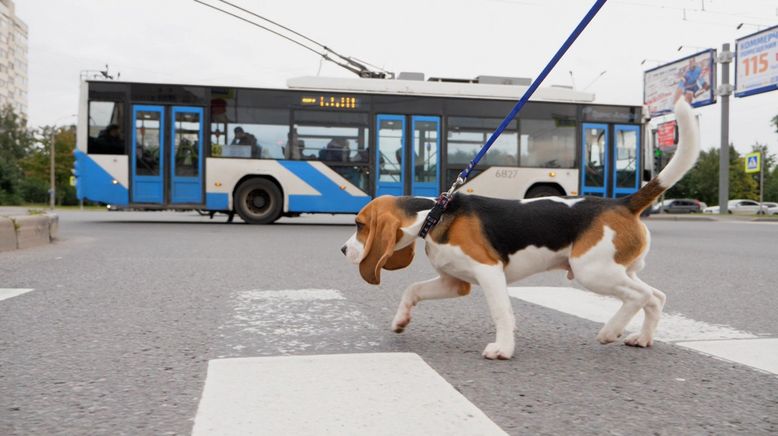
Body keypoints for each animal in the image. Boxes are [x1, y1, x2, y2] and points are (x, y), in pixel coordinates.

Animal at [340, 99, 696, 362]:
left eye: (359, 225)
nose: (343, 250)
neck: (435, 215)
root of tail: (622, 203)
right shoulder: (455, 282)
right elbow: (412, 290)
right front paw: (400, 321)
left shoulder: (489, 271)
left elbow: (502, 312)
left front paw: (503, 349)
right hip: (618, 269)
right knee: (656, 297)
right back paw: (643, 338)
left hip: (592, 271)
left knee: (640, 296)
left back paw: (610, 331)